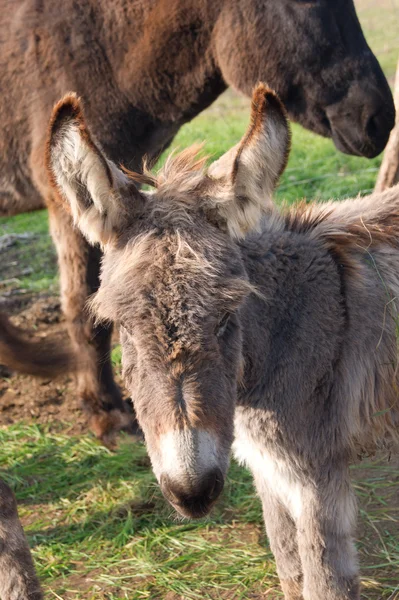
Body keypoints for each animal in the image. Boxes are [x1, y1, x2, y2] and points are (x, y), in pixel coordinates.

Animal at [47, 84, 399, 600]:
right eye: (121, 325)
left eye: (228, 316)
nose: (192, 493)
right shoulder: (271, 471)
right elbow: (290, 570)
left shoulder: (318, 477)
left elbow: (324, 582)